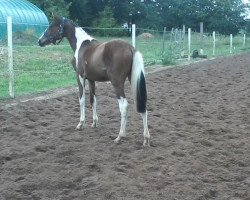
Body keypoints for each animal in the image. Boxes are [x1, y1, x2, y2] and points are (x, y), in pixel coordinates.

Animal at [37, 16, 150, 146]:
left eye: (51, 26)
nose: (40, 41)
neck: (81, 45)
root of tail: (131, 48)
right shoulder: (91, 80)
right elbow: (93, 100)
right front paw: (94, 122)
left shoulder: (80, 77)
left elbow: (82, 99)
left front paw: (81, 124)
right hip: (133, 80)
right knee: (142, 106)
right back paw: (146, 139)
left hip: (117, 83)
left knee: (124, 106)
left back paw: (120, 136)